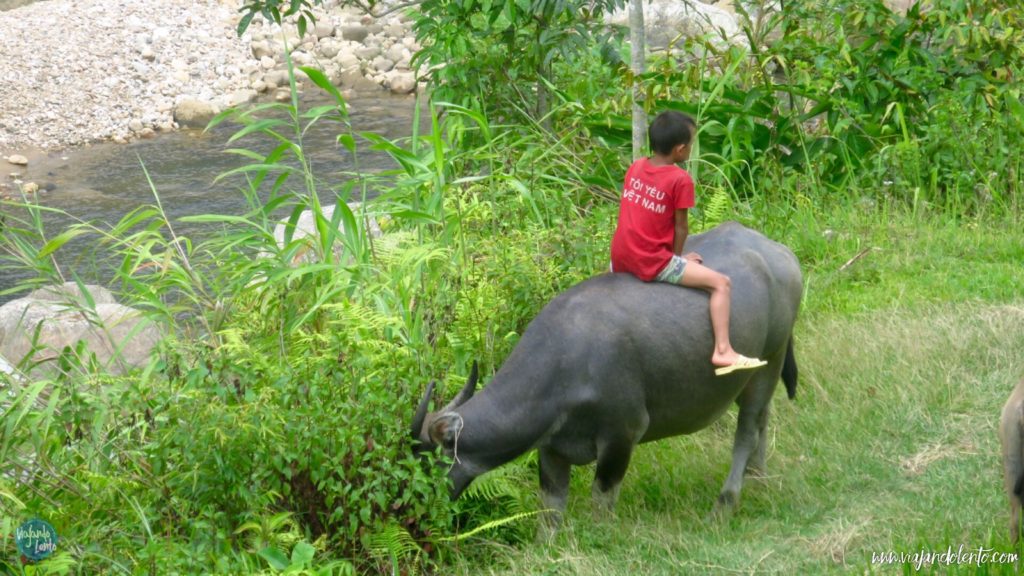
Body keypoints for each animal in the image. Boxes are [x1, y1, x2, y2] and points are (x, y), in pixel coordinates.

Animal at [407, 220, 798, 528]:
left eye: (425, 466)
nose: (414, 514)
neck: (564, 366)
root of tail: (779, 253)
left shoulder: (622, 434)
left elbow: (602, 501)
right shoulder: (551, 449)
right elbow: (550, 513)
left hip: (771, 356)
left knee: (747, 429)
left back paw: (726, 502)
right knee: (763, 420)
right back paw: (758, 479)